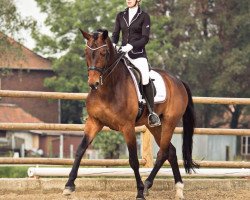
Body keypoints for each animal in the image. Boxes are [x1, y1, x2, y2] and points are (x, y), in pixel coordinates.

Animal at [63, 28, 199, 200]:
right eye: (86, 52)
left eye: (103, 53)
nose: (93, 83)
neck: (108, 88)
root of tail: (178, 81)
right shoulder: (94, 122)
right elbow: (80, 150)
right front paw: (69, 185)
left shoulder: (127, 127)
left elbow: (133, 159)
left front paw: (139, 191)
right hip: (153, 125)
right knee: (171, 151)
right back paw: (177, 188)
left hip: (170, 121)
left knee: (163, 152)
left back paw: (149, 185)